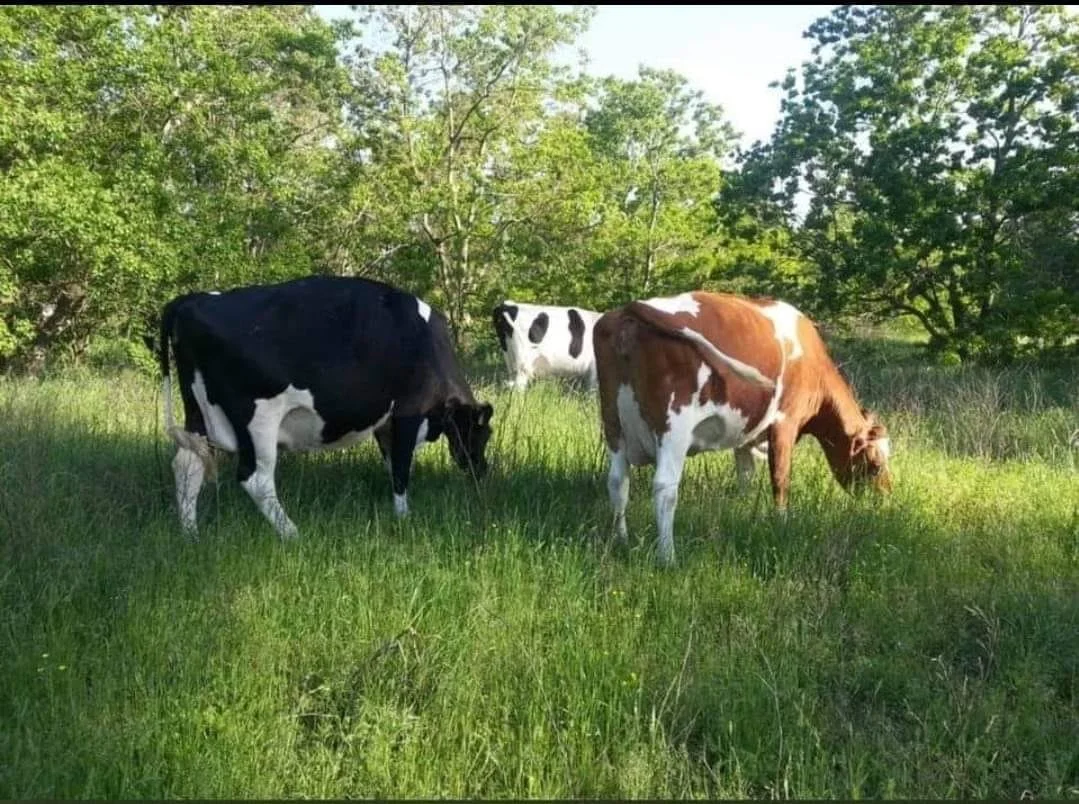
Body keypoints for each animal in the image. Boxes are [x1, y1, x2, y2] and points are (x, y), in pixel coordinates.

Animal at [152, 275, 494, 540]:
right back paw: (292, 534)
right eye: (483, 434)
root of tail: (191, 301)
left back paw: (191, 535)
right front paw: (404, 517)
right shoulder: (408, 411)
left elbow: (390, 461)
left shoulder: (385, 423)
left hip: (197, 414)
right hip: (257, 418)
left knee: (187, 466)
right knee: (255, 479)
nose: (481, 470)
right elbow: (400, 467)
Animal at [593, 290, 893, 566]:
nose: (884, 500)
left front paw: (742, 506)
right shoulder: (785, 422)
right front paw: (781, 523)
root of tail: (628, 310)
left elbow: (745, 473)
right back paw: (668, 556)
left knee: (618, 481)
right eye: (875, 464)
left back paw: (621, 539)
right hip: (673, 427)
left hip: (613, 422)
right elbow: (780, 478)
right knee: (665, 487)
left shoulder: (745, 436)